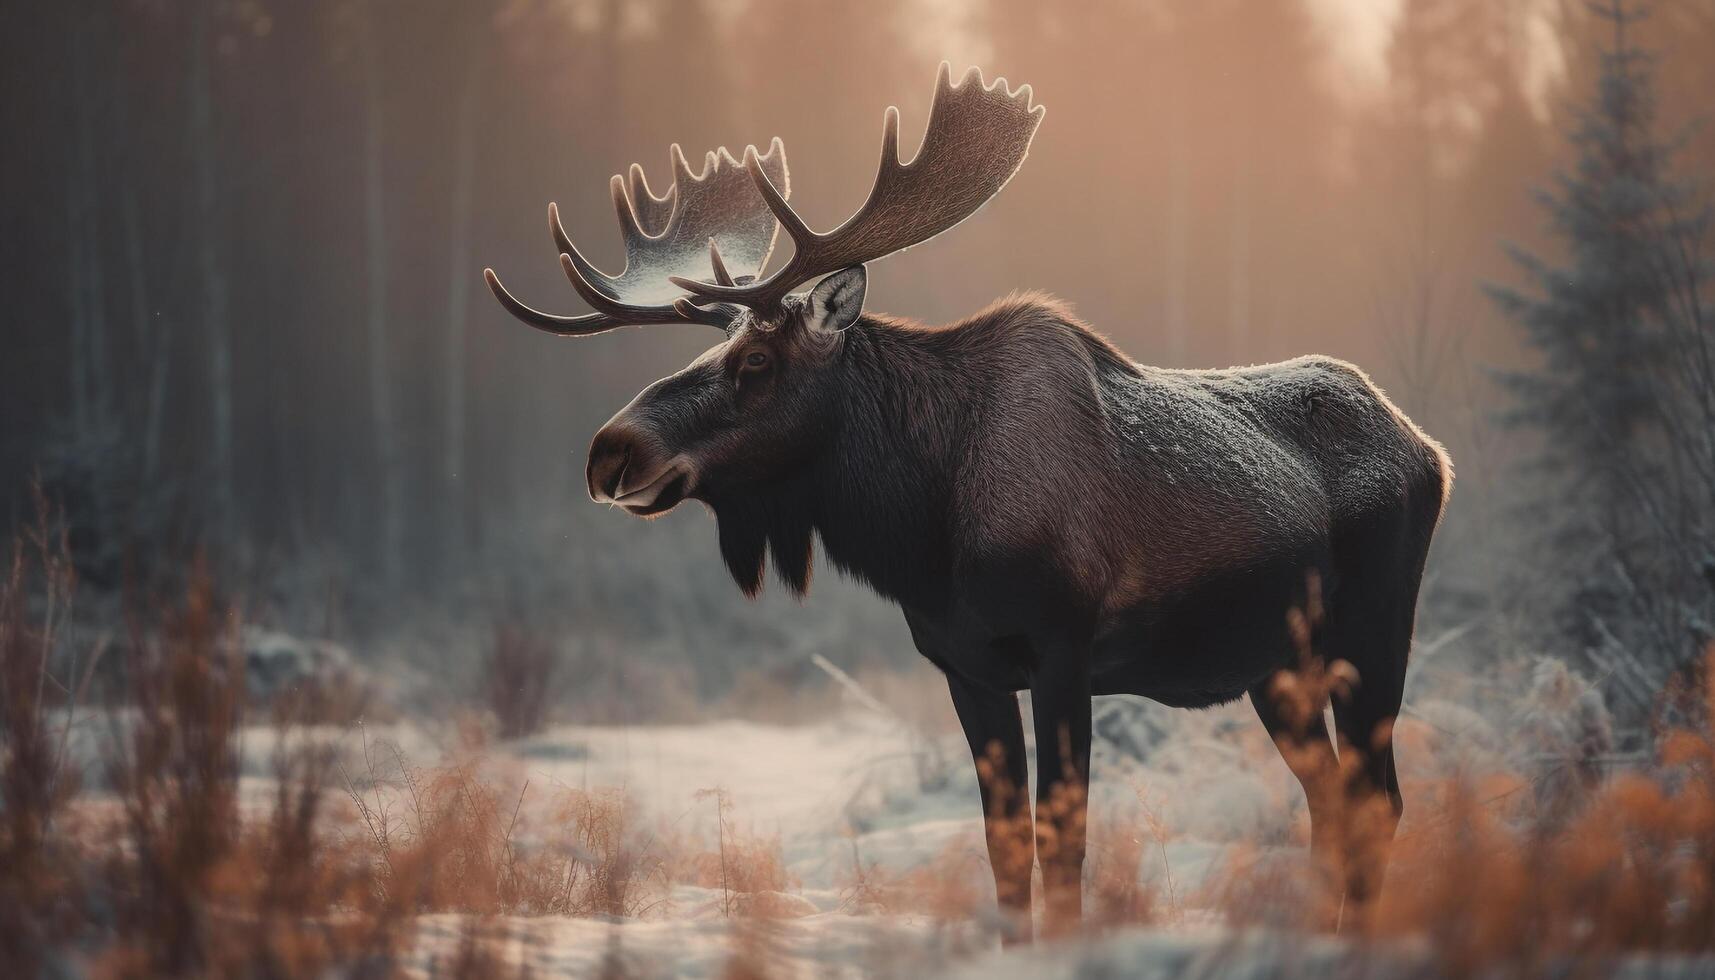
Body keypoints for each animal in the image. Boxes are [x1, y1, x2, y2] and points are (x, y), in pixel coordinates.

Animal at [483, 65, 1447, 940]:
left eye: (756, 362)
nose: (611, 451)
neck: (925, 528)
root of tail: (1430, 450)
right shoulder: (965, 666)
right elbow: (1003, 844)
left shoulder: (1063, 647)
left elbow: (1064, 838)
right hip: (1275, 669)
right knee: (1335, 800)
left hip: (1370, 629)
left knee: (1381, 797)